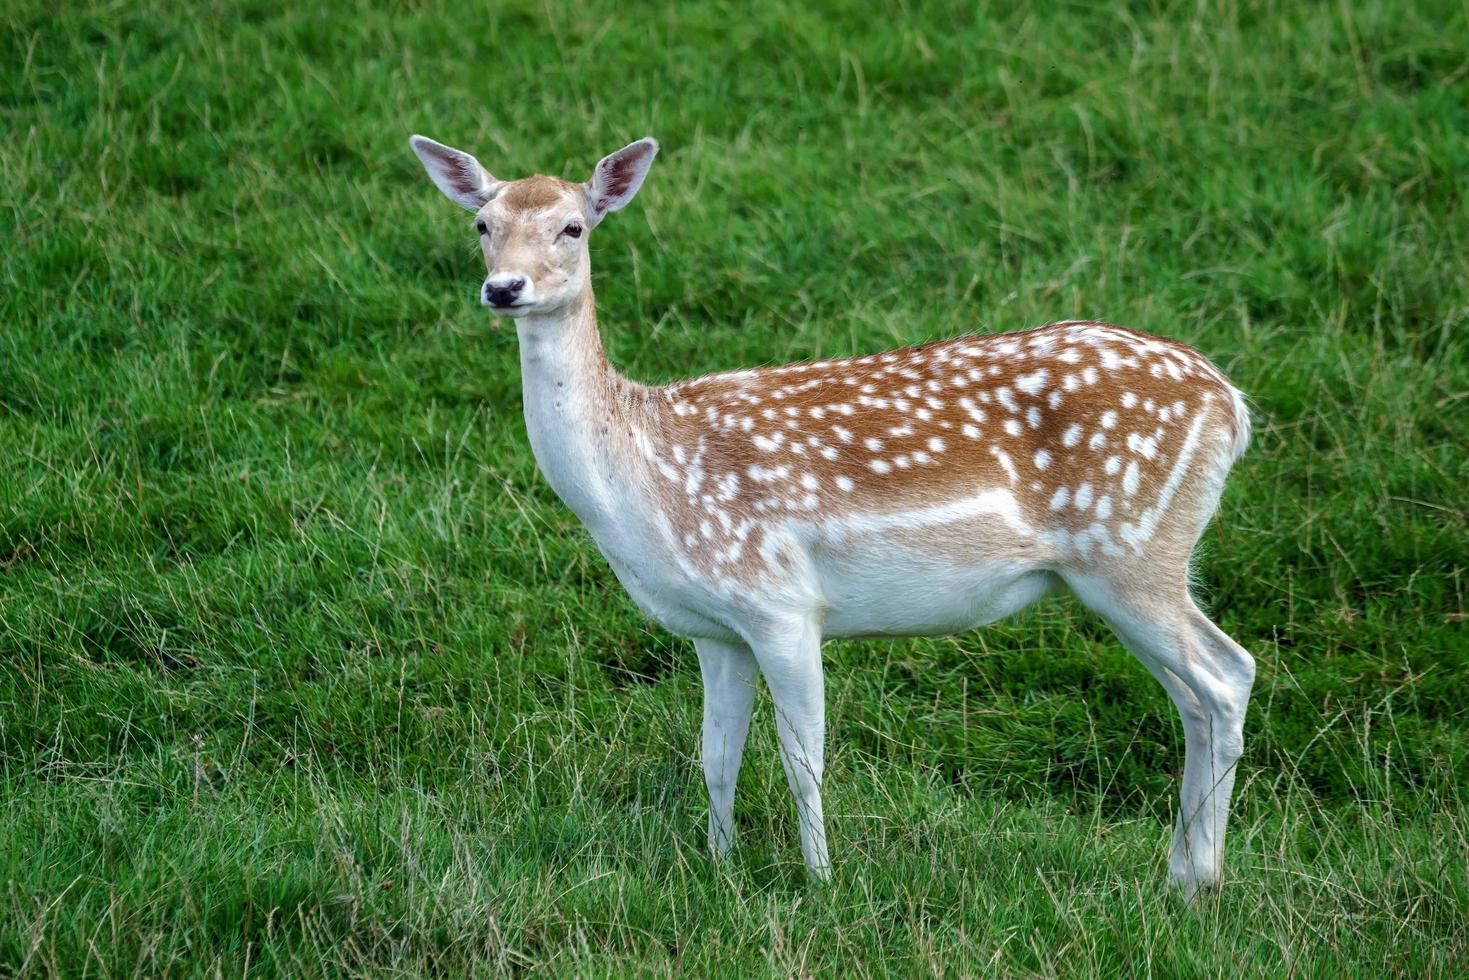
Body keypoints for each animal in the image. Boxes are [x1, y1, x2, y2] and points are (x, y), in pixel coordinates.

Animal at [408, 132, 1257, 905]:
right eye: (481, 223)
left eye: (573, 227)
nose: (504, 288)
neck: (641, 480)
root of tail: (1232, 405)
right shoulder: (714, 627)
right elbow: (715, 756)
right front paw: (717, 867)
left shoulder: (780, 602)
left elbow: (801, 758)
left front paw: (820, 883)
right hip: (1122, 569)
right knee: (1193, 695)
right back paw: (1180, 872)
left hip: (1133, 552)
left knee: (1225, 676)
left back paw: (1202, 880)